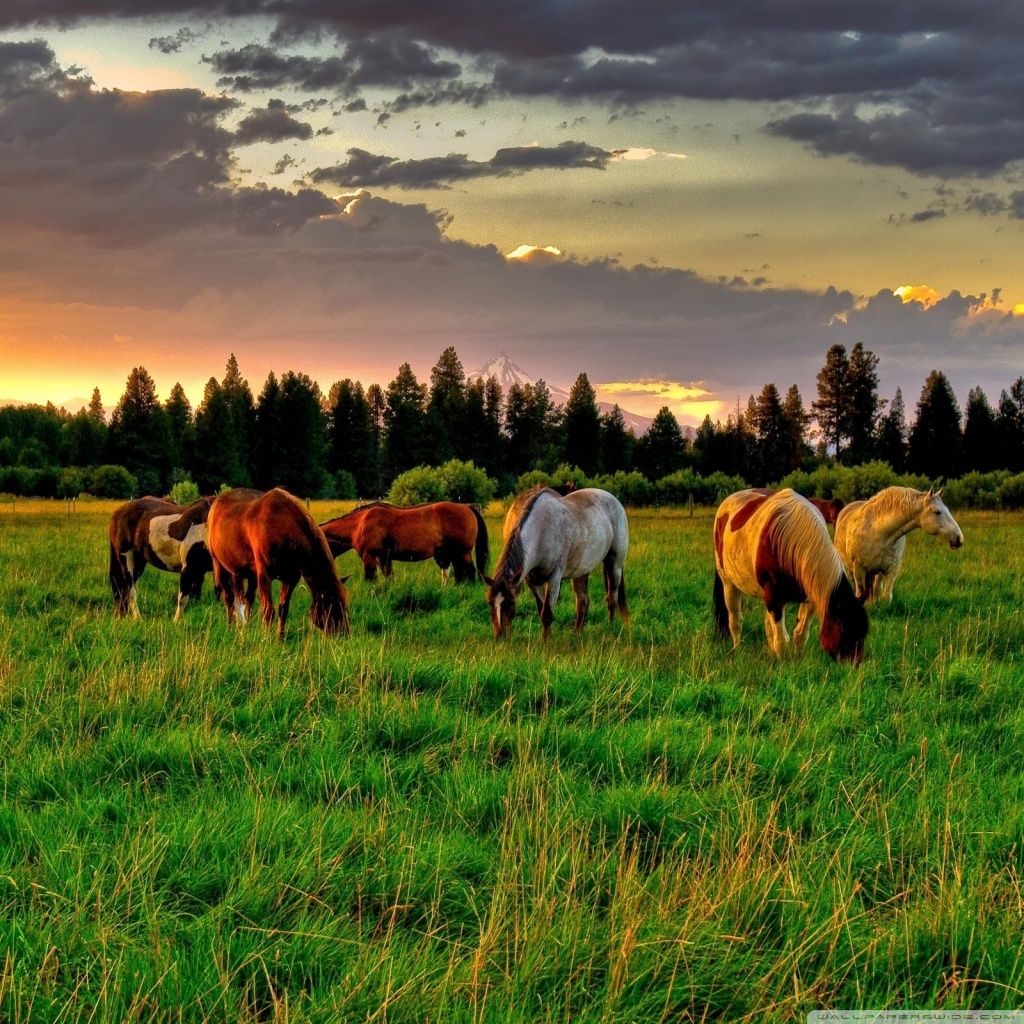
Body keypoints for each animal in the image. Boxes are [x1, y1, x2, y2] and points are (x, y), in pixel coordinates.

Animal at [207, 487, 352, 638]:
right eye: (333, 604)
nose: (346, 635)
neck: (282, 528)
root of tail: (216, 502)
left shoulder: (291, 578)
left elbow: (283, 608)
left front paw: (279, 638)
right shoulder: (264, 576)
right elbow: (268, 610)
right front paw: (266, 638)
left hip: (245, 573)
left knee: (247, 599)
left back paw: (246, 628)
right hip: (220, 566)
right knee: (229, 599)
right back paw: (230, 628)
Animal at [323, 497, 491, 581]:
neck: (360, 523)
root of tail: (466, 507)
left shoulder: (369, 556)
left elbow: (370, 579)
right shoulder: (384, 559)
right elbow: (389, 578)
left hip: (463, 553)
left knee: (470, 573)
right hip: (455, 554)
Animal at [483, 487, 626, 638]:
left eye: (510, 602)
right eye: (490, 602)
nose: (500, 636)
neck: (541, 529)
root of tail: (613, 499)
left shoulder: (554, 578)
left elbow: (546, 613)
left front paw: (545, 641)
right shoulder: (530, 579)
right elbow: (541, 608)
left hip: (615, 564)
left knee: (612, 598)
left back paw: (610, 629)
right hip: (581, 570)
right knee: (583, 601)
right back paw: (577, 634)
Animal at [716, 487, 868, 663]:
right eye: (846, 633)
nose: (856, 665)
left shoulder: (809, 598)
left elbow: (800, 634)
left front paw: (797, 660)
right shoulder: (774, 598)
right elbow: (782, 639)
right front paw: (781, 664)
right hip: (729, 584)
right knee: (735, 620)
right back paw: (737, 650)